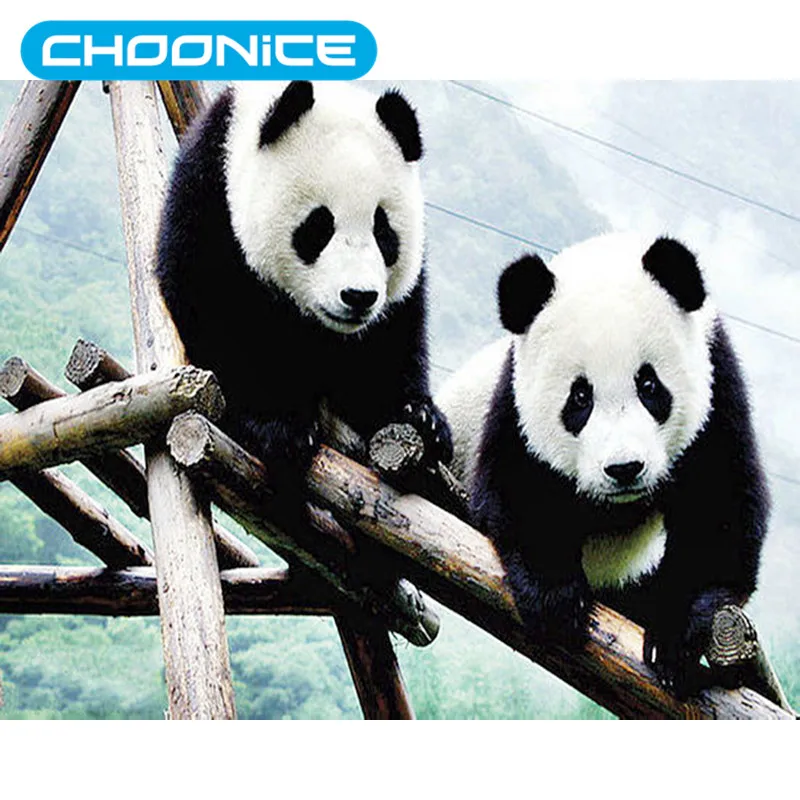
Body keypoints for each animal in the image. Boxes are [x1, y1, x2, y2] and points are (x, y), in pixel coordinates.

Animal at [156, 81, 451, 498]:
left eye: (383, 231)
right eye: (319, 226)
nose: (358, 296)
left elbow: (392, 340)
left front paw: (421, 417)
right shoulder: (210, 201)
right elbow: (219, 317)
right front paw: (281, 425)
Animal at [437, 232, 769, 694]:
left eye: (649, 385)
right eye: (580, 397)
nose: (625, 469)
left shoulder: (717, 381)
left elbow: (719, 507)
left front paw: (673, 635)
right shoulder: (514, 402)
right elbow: (518, 490)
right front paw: (557, 601)